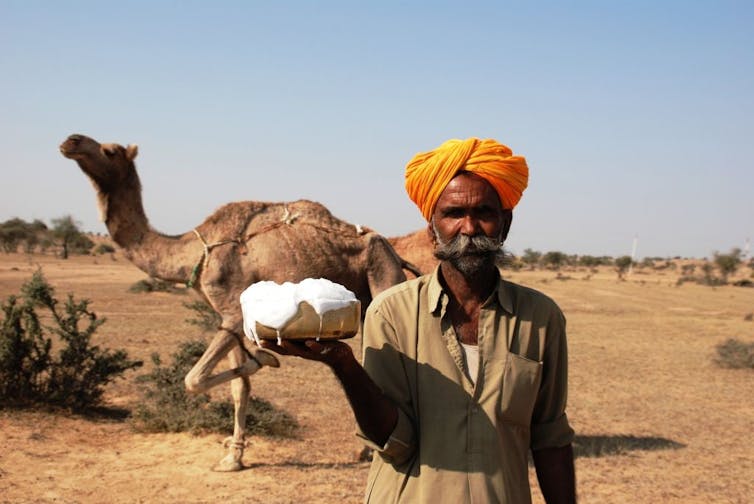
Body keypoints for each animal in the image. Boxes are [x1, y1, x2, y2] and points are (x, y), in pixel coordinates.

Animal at [61, 134, 420, 472]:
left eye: (109, 151)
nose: (70, 141)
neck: (194, 252)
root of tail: (393, 250)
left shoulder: (233, 312)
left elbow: (194, 379)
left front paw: (264, 358)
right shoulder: (224, 316)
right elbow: (237, 388)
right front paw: (233, 457)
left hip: (383, 273)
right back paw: (365, 448)